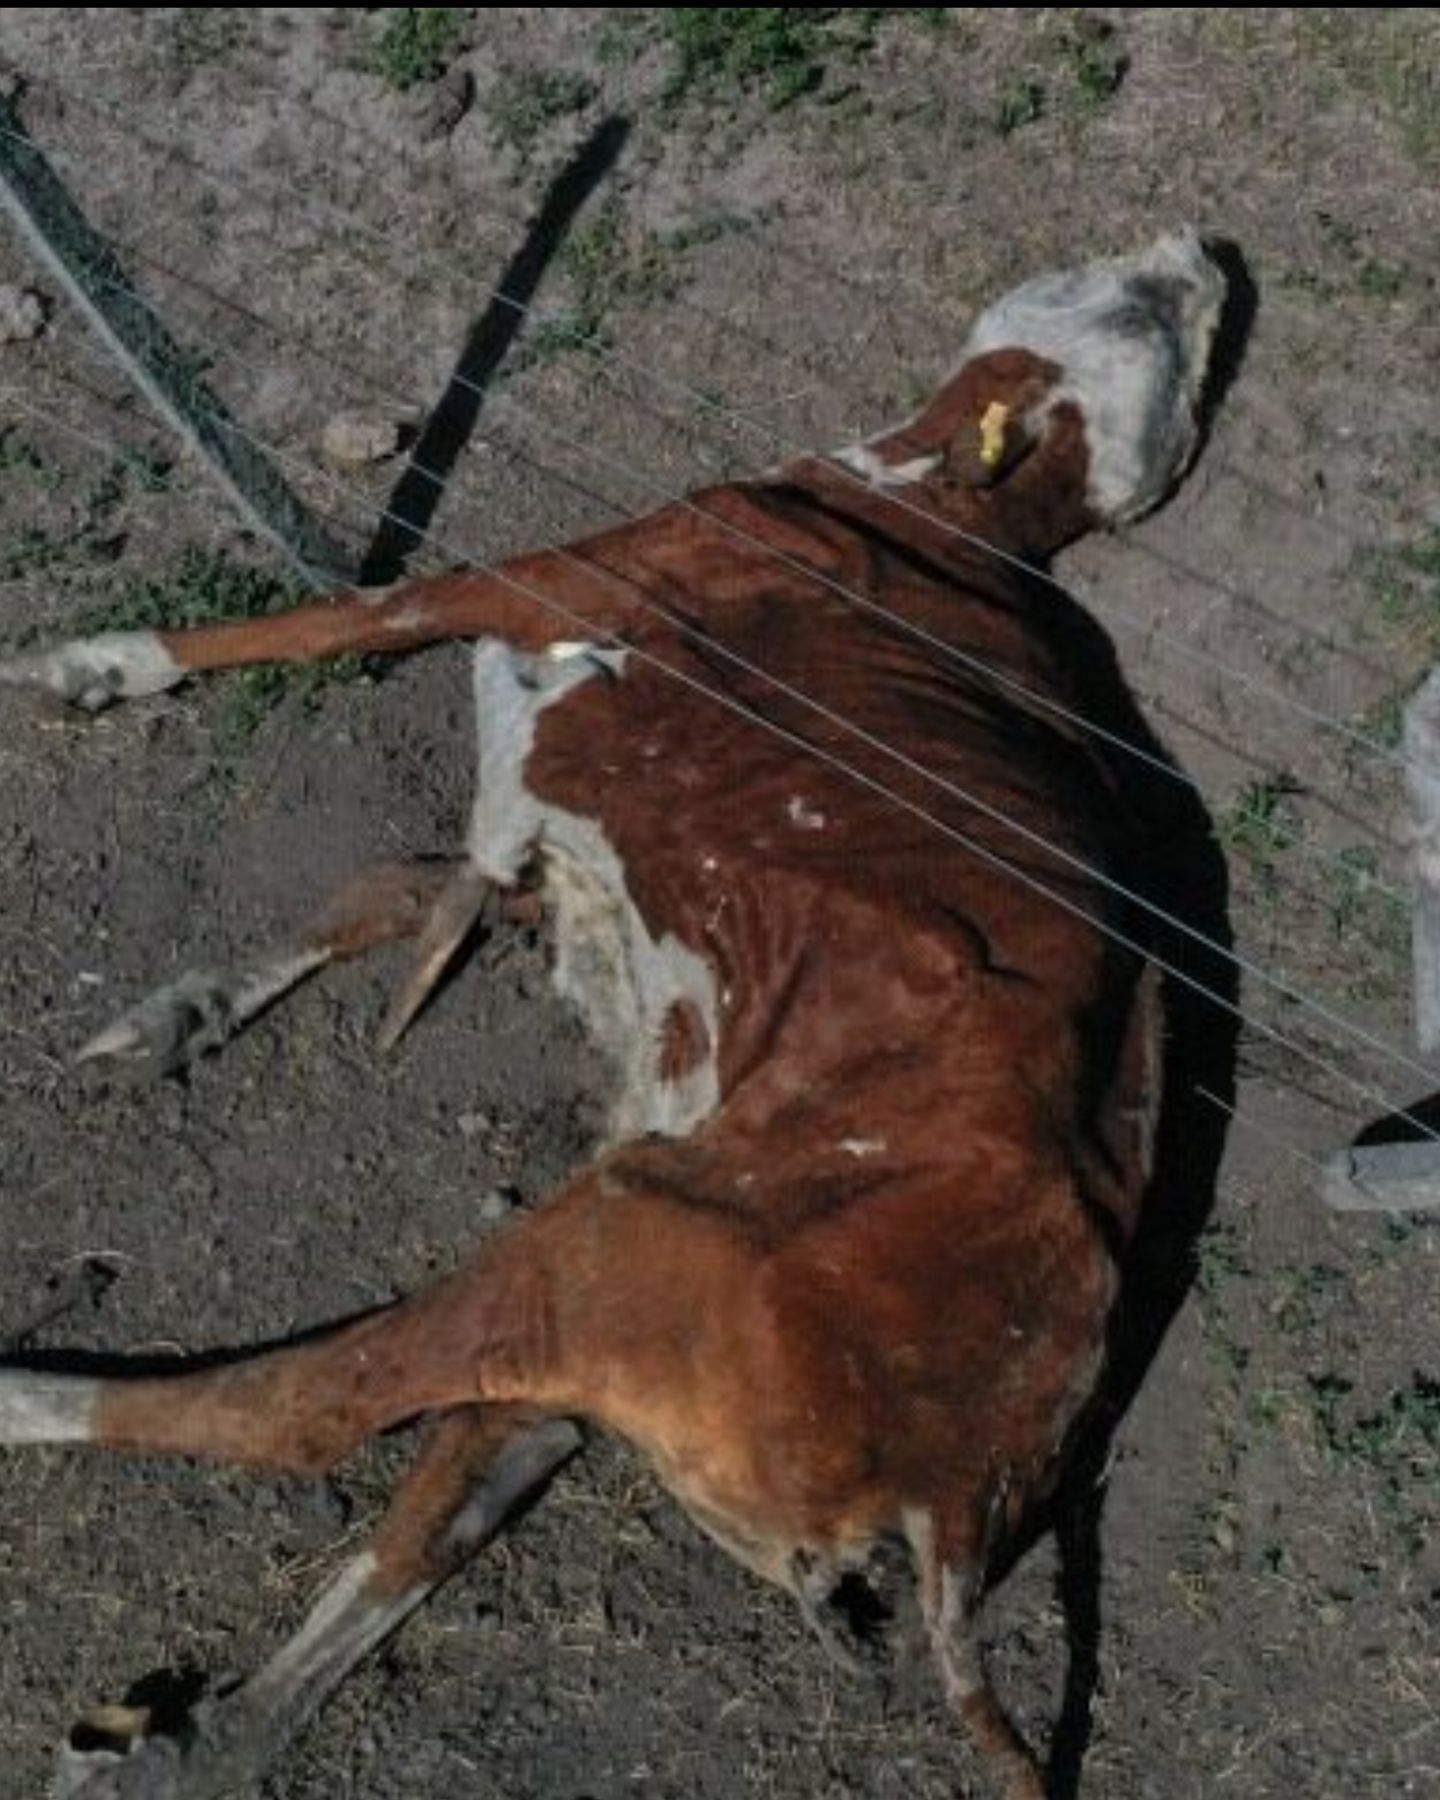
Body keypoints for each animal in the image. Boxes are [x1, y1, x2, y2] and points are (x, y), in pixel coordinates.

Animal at [0, 228, 1224, 1800]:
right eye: (1145, 307)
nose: (1204, 251)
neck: (926, 514)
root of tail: (958, 1502)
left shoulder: (561, 574)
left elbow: (337, 619)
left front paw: (94, 664)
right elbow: (406, 879)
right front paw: (185, 1009)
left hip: (613, 1241)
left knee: (296, 1407)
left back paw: (27, 1400)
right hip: (609, 1318)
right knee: (452, 1493)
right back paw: (194, 1732)